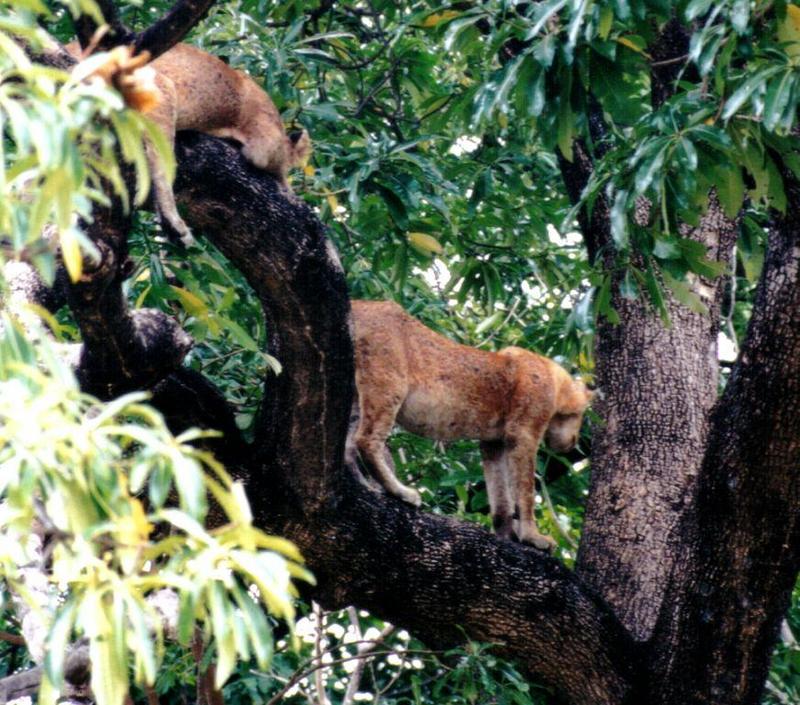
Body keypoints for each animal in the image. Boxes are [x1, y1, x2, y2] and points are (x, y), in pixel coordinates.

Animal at [352, 296, 592, 552]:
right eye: (580, 416)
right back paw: (401, 493)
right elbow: (525, 489)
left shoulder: (493, 442)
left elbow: (500, 493)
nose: (574, 442)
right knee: (365, 440)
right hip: (387, 384)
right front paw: (533, 538)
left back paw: (361, 485)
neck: (555, 380)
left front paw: (506, 535)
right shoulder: (524, 433)